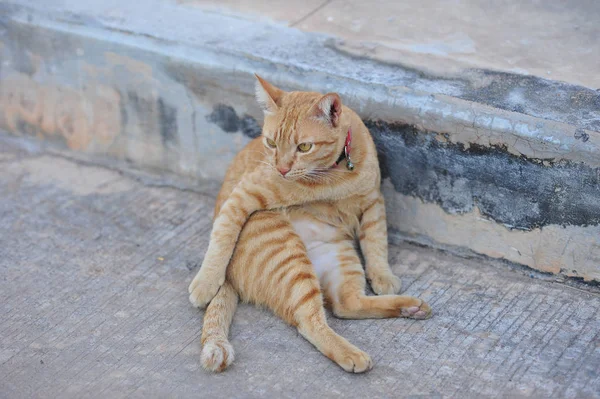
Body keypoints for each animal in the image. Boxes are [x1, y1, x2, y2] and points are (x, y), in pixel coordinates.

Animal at [190, 76, 428, 374]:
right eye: (271, 143)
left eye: (304, 147)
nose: (281, 169)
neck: (334, 174)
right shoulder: (245, 193)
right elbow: (222, 234)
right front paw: (206, 281)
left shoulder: (373, 202)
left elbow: (376, 244)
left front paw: (382, 275)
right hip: (290, 258)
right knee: (310, 321)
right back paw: (353, 354)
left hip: (339, 256)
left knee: (345, 304)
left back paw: (410, 308)